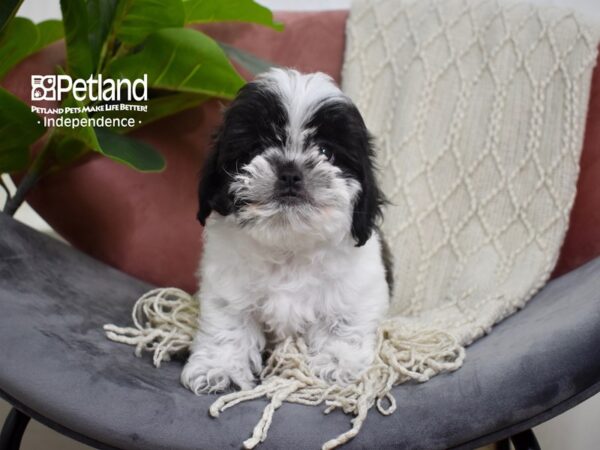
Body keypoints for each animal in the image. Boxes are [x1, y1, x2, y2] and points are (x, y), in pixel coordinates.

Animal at [180, 67, 392, 394]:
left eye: (326, 151)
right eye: (257, 147)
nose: (290, 171)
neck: (290, 244)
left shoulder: (357, 288)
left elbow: (343, 324)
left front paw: (337, 364)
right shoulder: (228, 288)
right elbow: (228, 325)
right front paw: (219, 367)